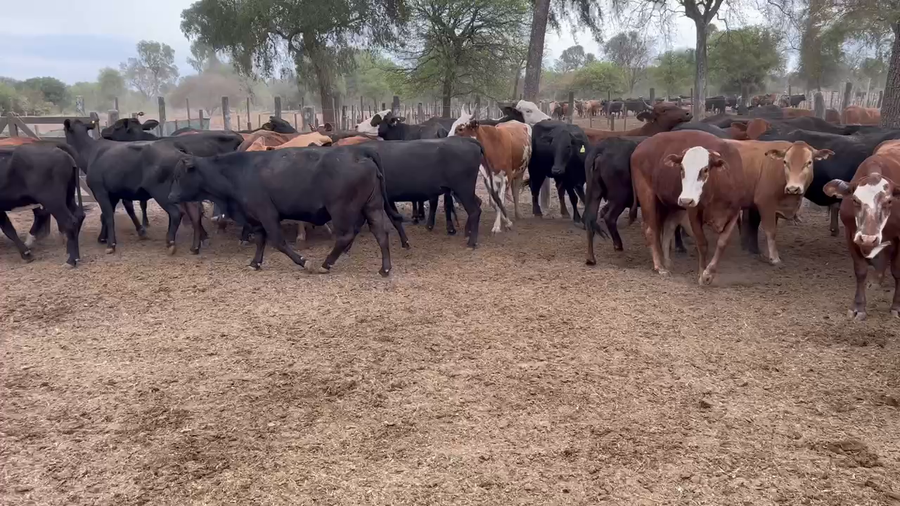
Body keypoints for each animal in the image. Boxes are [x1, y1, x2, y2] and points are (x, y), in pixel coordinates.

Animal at [168, 145, 407, 276]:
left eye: (179, 176)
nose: (170, 196)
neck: (238, 172)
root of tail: (360, 151)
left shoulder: (267, 213)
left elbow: (278, 242)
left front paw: (303, 261)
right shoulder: (255, 217)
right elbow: (260, 239)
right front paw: (255, 263)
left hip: (342, 210)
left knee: (346, 235)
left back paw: (325, 264)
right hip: (372, 206)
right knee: (381, 233)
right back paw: (385, 268)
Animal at [630, 130, 746, 284]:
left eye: (705, 169)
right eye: (682, 168)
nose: (686, 200)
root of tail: (639, 147)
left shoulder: (735, 212)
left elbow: (722, 242)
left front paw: (710, 273)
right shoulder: (693, 212)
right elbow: (702, 243)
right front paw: (703, 274)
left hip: (673, 205)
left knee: (668, 227)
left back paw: (666, 261)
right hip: (648, 196)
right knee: (651, 229)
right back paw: (659, 266)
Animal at [823, 140, 900, 320]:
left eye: (889, 201)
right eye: (855, 200)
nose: (868, 239)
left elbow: (897, 271)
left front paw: (897, 306)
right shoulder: (851, 234)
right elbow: (860, 271)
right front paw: (858, 307)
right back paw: (877, 280)